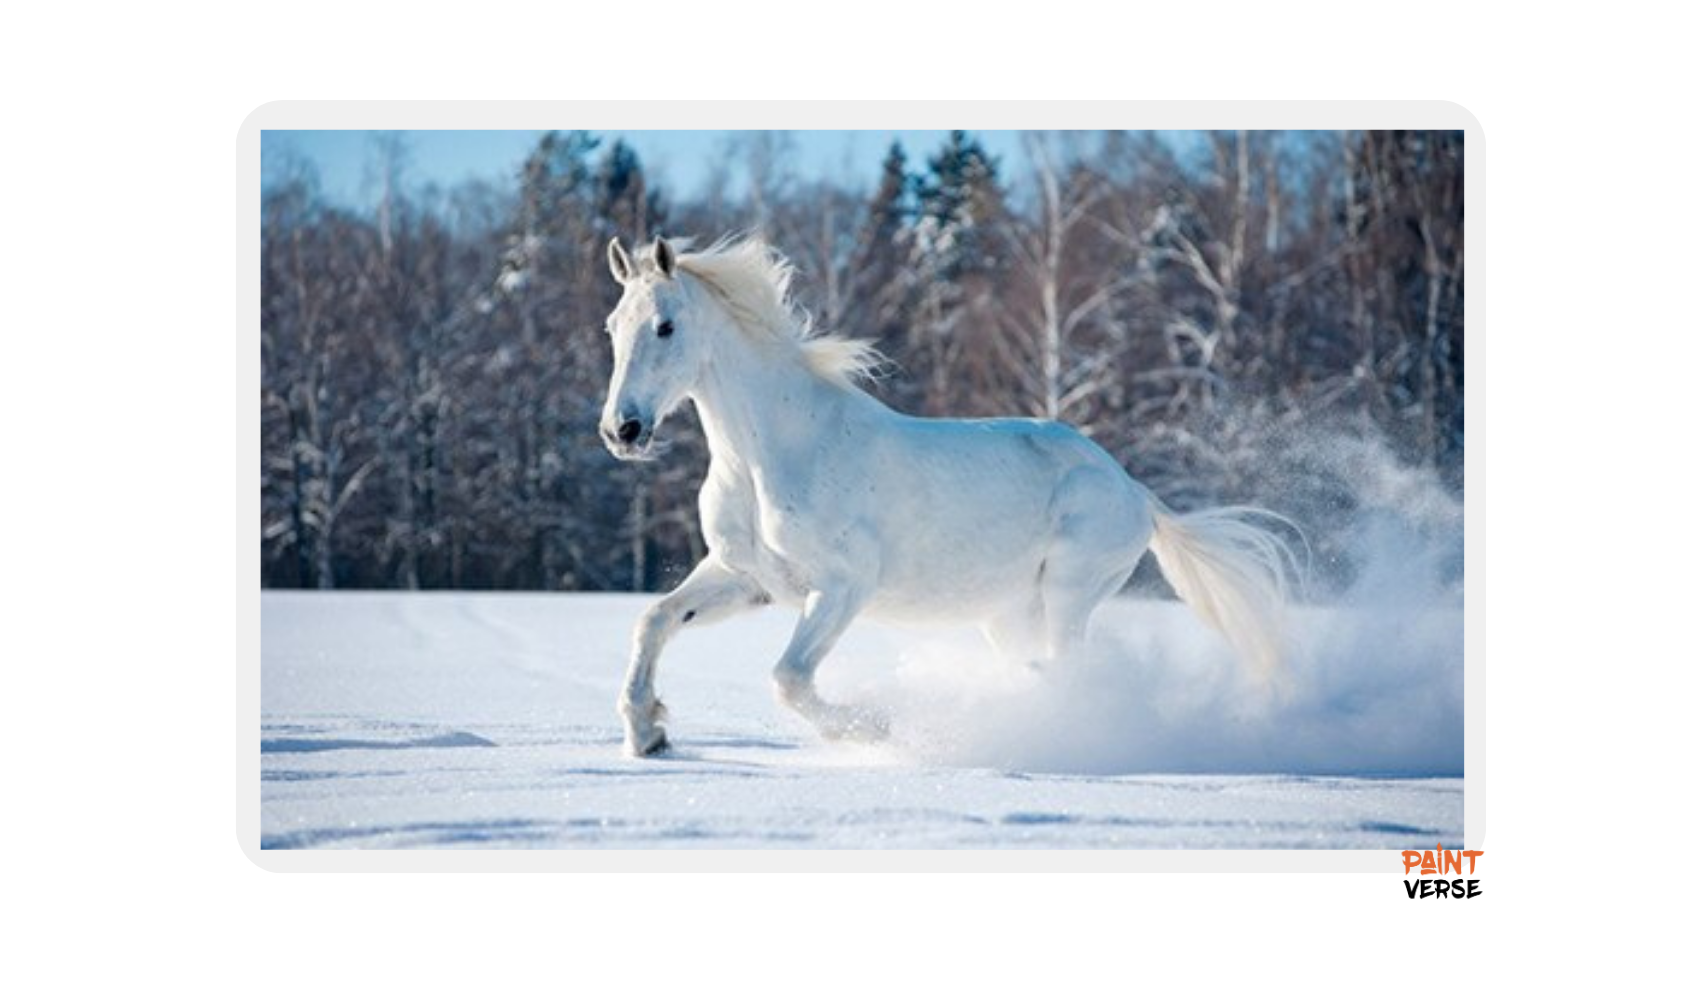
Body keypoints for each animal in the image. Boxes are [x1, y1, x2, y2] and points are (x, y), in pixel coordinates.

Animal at [605, 232, 1292, 748]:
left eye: (665, 326)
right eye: (613, 326)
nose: (622, 430)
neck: (771, 453)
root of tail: (1134, 491)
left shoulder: (844, 586)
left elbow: (789, 677)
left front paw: (876, 728)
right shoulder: (746, 578)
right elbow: (653, 621)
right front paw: (649, 734)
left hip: (1070, 593)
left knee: (1069, 670)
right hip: (1009, 614)